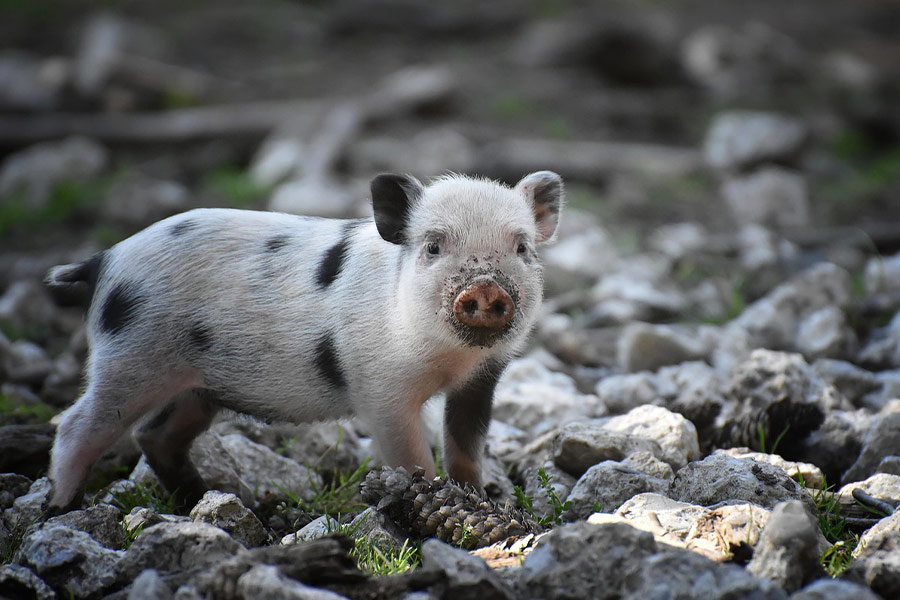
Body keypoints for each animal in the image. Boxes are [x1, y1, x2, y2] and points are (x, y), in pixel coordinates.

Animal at [44, 171, 564, 512]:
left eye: (522, 247)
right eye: (433, 246)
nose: (485, 287)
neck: (452, 360)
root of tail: (105, 260)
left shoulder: (482, 380)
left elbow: (466, 448)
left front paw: (477, 500)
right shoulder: (380, 389)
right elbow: (413, 456)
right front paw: (429, 497)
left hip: (196, 386)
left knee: (155, 435)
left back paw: (207, 500)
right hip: (128, 358)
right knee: (75, 425)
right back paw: (62, 510)